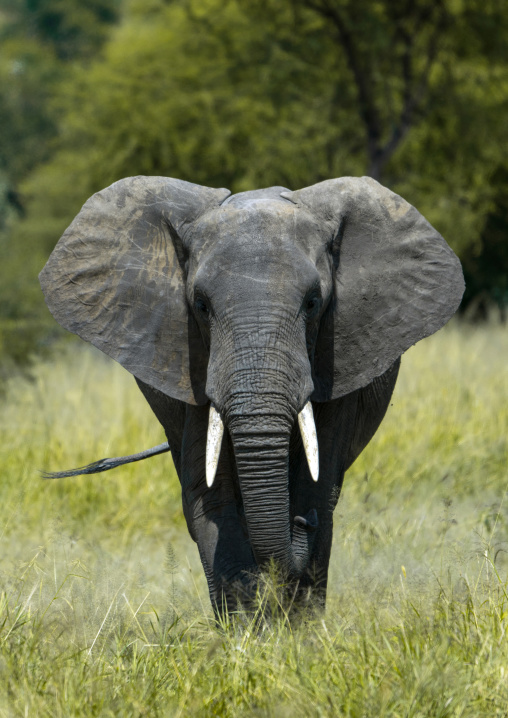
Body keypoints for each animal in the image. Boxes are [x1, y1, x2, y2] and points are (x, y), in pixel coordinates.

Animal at [39, 175, 464, 614]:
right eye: (200, 305)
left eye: (313, 303)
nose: (302, 523)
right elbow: (212, 496)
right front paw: (244, 627)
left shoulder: (335, 363)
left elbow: (315, 485)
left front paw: (298, 628)